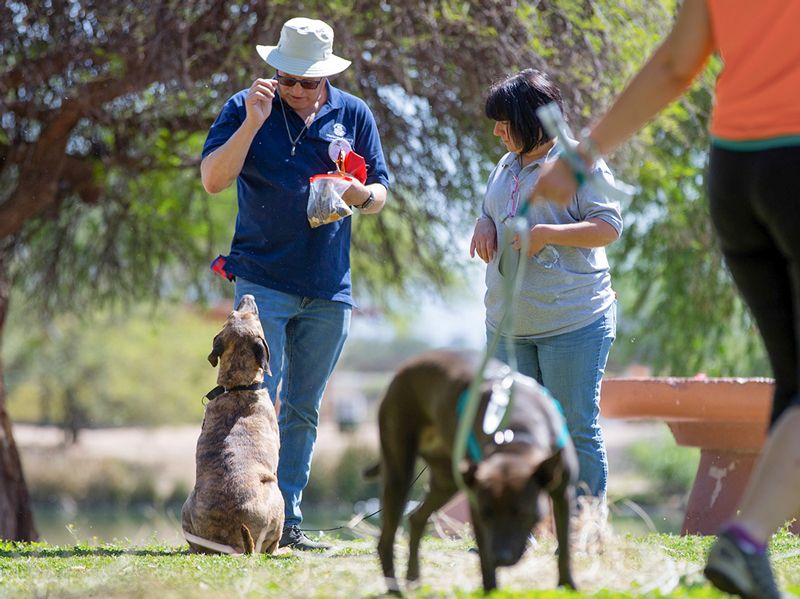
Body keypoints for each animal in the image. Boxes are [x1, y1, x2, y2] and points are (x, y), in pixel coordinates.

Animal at [182, 296, 284, 556]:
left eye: (230, 316)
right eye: (252, 317)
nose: (249, 296)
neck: (238, 386)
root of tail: (233, 542)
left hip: (186, 506)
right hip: (277, 497)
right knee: (270, 547)